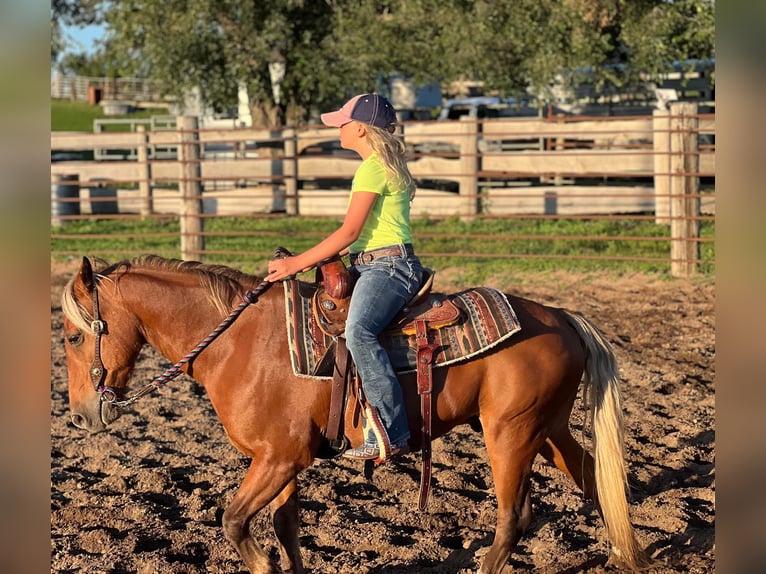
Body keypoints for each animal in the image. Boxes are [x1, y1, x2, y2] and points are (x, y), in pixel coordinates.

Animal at [61, 258, 656, 574]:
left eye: (71, 336)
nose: (81, 417)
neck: (238, 343)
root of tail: (562, 316)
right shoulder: (281, 461)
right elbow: (286, 526)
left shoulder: (279, 460)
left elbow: (234, 522)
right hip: (547, 431)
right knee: (597, 481)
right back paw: (623, 553)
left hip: (510, 434)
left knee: (513, 518)